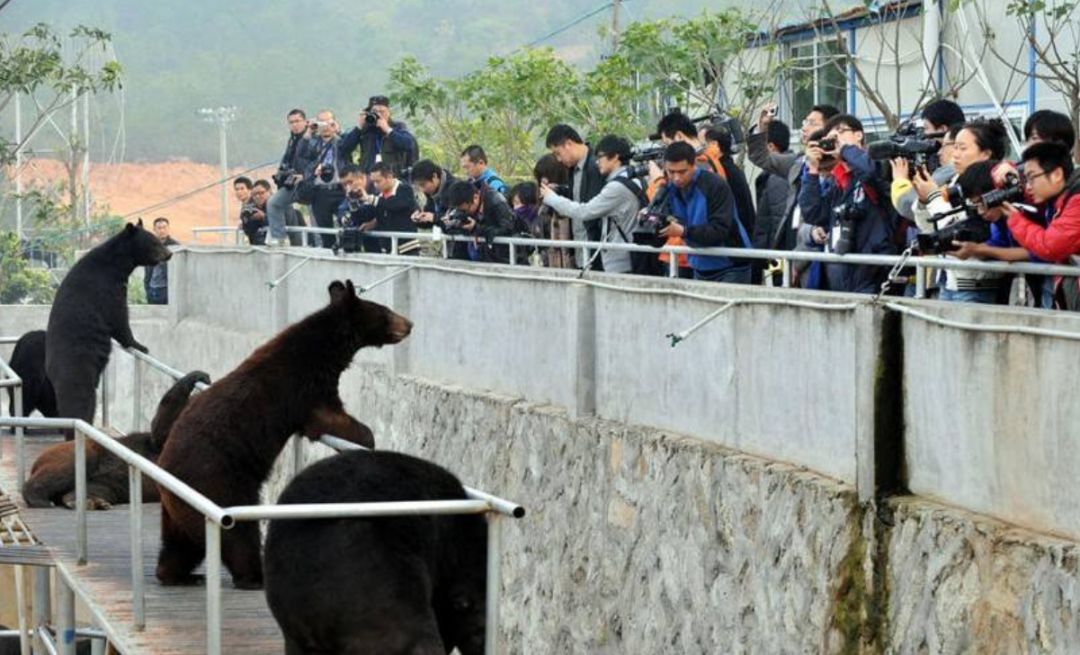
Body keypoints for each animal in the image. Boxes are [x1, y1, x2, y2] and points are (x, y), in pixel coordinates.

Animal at [23, 371, 210, 510]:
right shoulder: (161, 442)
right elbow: (161, 428)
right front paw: (197, 376)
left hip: (109, 484)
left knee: (95, 488)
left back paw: (90, 501)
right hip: (77, 451)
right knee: (71, 466)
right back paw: (39, 497)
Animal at [44, 221, 170, 436]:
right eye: (154, 242)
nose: (169, 254)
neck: (116, 263)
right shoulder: (105, 288)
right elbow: (119, 316)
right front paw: (140, 345)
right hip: (78, 367)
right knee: (81, 401)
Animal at [156, 278, 412, 592]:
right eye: (386, 311)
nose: (409, 324)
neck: (324, 346)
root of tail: (166, 475)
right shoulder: (304, 387)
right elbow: (330, 418)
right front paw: (367, 439)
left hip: (178, 510)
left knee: (181, 543)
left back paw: (178, 574)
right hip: (218, 483)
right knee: (238, 536)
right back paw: (254, 576)